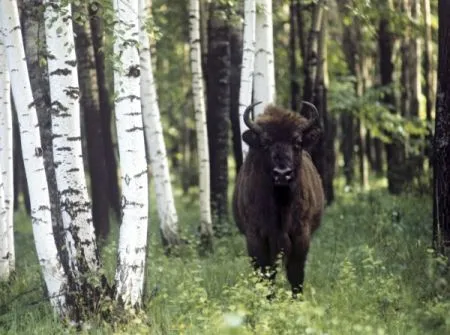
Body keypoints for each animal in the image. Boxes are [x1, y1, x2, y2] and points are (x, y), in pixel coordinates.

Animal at [232, 101, 324, 298]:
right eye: (266, 142)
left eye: (297, 142)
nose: (282, 174)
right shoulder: (256, 237)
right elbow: (265, 273)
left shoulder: (301, 235)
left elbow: (296, 274)